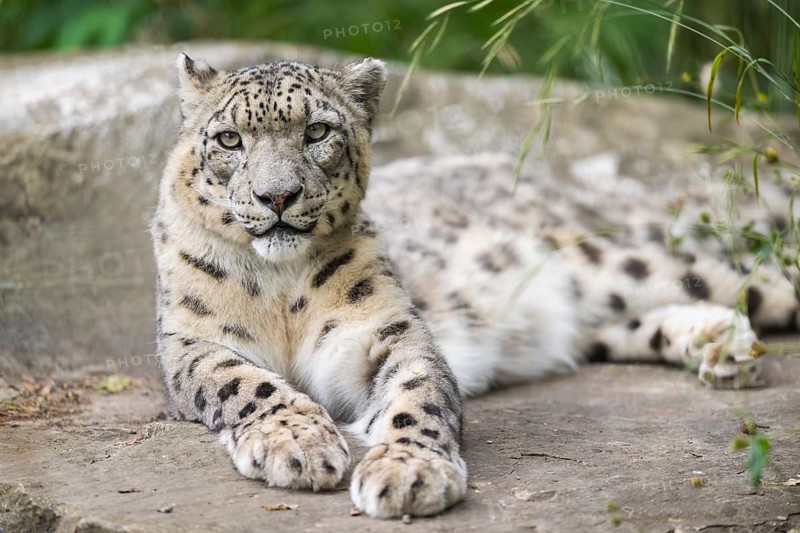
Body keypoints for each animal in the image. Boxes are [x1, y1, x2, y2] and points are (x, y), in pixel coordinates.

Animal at [150, 54, 799, 519]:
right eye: (229, 139)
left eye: (316, 132)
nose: (277, 197)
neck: (282, 289)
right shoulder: (190, 344)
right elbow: (243, 383)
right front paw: (297, 444)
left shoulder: (387, 331)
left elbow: (416, 396)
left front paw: (409, 473)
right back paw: (722, 345)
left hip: (625, 260)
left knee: (750, 273)